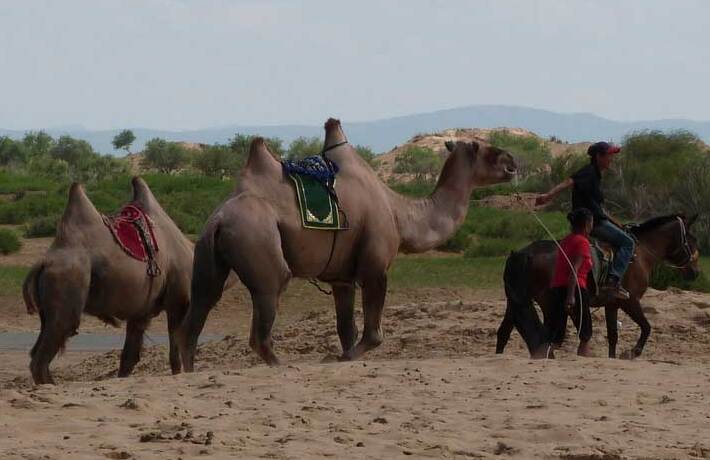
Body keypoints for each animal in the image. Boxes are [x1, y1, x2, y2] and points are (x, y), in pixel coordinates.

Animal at [23, 178, 195, 382]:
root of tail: (44, 262)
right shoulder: (178, 299)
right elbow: (176, 352)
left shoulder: (140, 312)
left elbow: (129, 357)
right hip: (66, 287)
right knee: (44, 354)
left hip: (47, 311)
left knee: (37, 352)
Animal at [178, 119, 516, 370]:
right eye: (484, 148)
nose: (513, 161)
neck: (400, 213)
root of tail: (219, 218)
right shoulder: (374, 266)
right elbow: (373, 334)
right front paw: (341, 357)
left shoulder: (342, 278)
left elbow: (346, 329)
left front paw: (342, 354)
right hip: (258, 242)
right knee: (263, 313)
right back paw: (281, 364)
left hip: (207, 254)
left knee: (197, 313)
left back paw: (189, 371)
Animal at [498, 215, 704, 360]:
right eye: (692, 240)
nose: (695, 272)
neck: (641, 253)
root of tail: (523, 254)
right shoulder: (630, 301)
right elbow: (646, 327)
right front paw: (632, 352)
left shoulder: (612, 305)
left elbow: (613, 336)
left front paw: (613, 357)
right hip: (549, 304)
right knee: (545, 335)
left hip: (516, 302)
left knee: (504, 333)